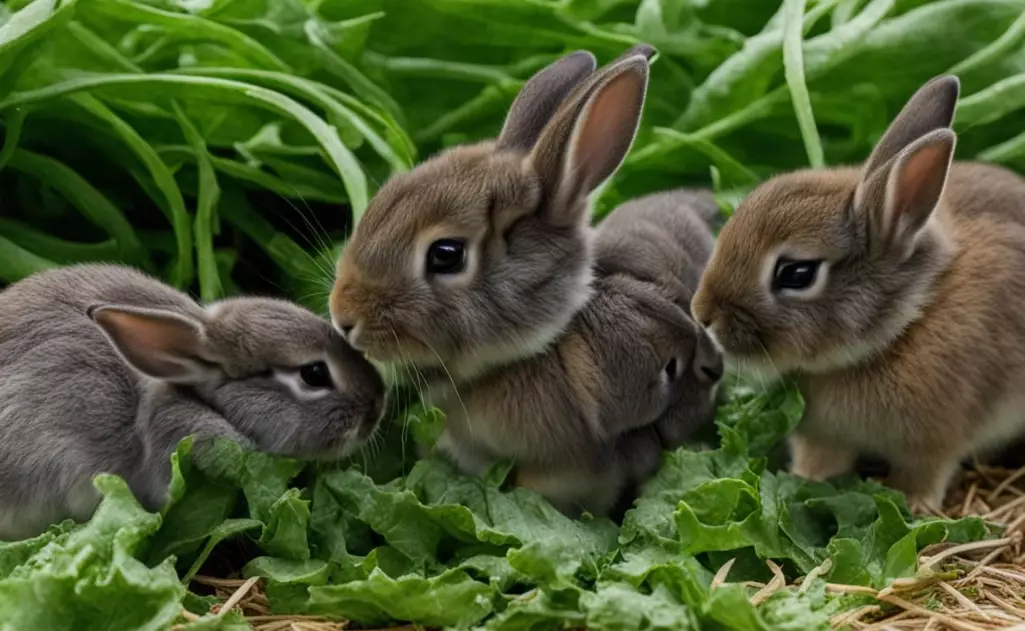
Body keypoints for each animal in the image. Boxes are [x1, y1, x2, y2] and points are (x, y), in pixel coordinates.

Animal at [691, 74, 1025, 512]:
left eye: (796, 273)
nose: (702, 314)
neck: (902, 326)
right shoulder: (824, 436)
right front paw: (806, 479)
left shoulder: (936, 441)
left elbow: (926, 472)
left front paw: (914, 504)